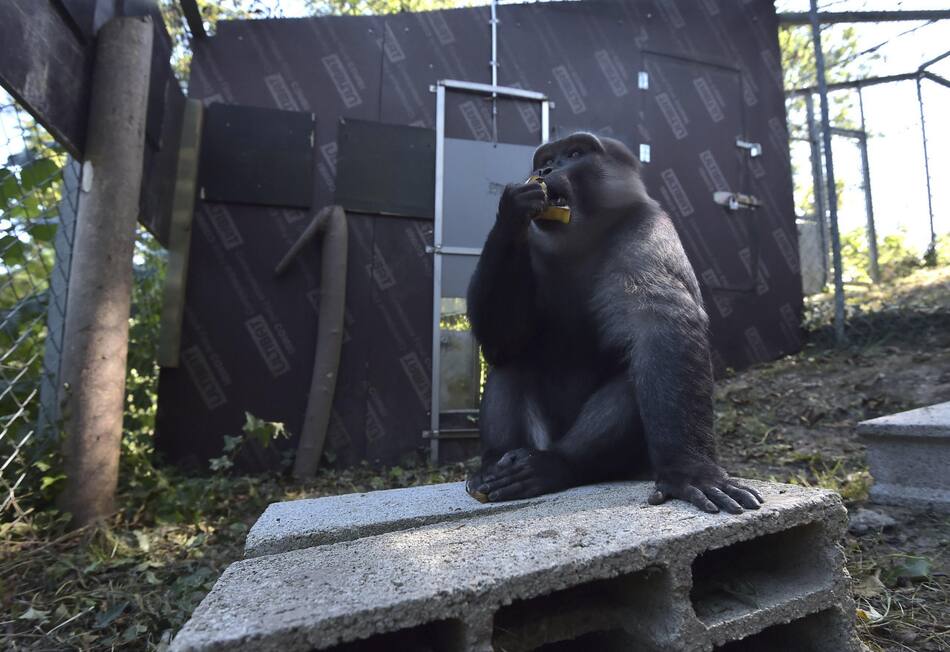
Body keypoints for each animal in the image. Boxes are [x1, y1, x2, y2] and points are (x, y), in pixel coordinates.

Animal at [464, 132, 762, 514]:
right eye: (546, 160)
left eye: (574, 154)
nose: (545, 170)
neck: (577, 243)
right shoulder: (532, 246)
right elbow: (505, 342)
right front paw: (511, 213)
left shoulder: (646, 230)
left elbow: (663, 324)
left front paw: (690, 470)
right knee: (511, 363)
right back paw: (495, 463)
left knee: (634, 375)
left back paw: (557, 465)